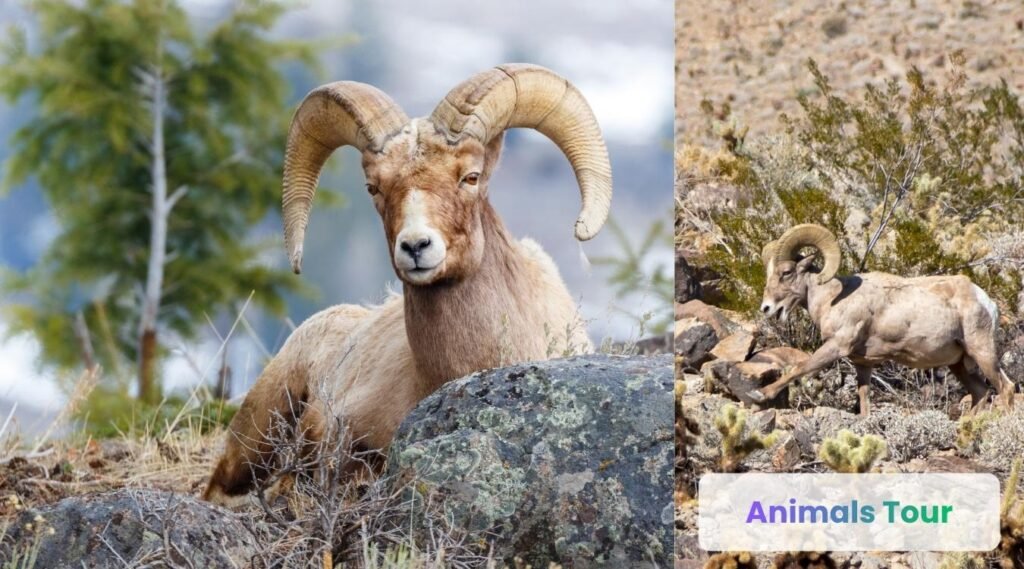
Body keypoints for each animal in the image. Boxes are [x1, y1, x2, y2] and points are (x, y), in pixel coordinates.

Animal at [749, 223, 1016, 416]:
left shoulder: (836, 346)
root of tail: (985, 300)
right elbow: (864, 397)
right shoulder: (862, 363)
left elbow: (799, 368)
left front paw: (760, 395)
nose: (767, 308)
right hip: (958, 363)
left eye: (786, 272)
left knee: (1006, 388)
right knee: (981, 393)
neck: (833, 298)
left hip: (982, 352)